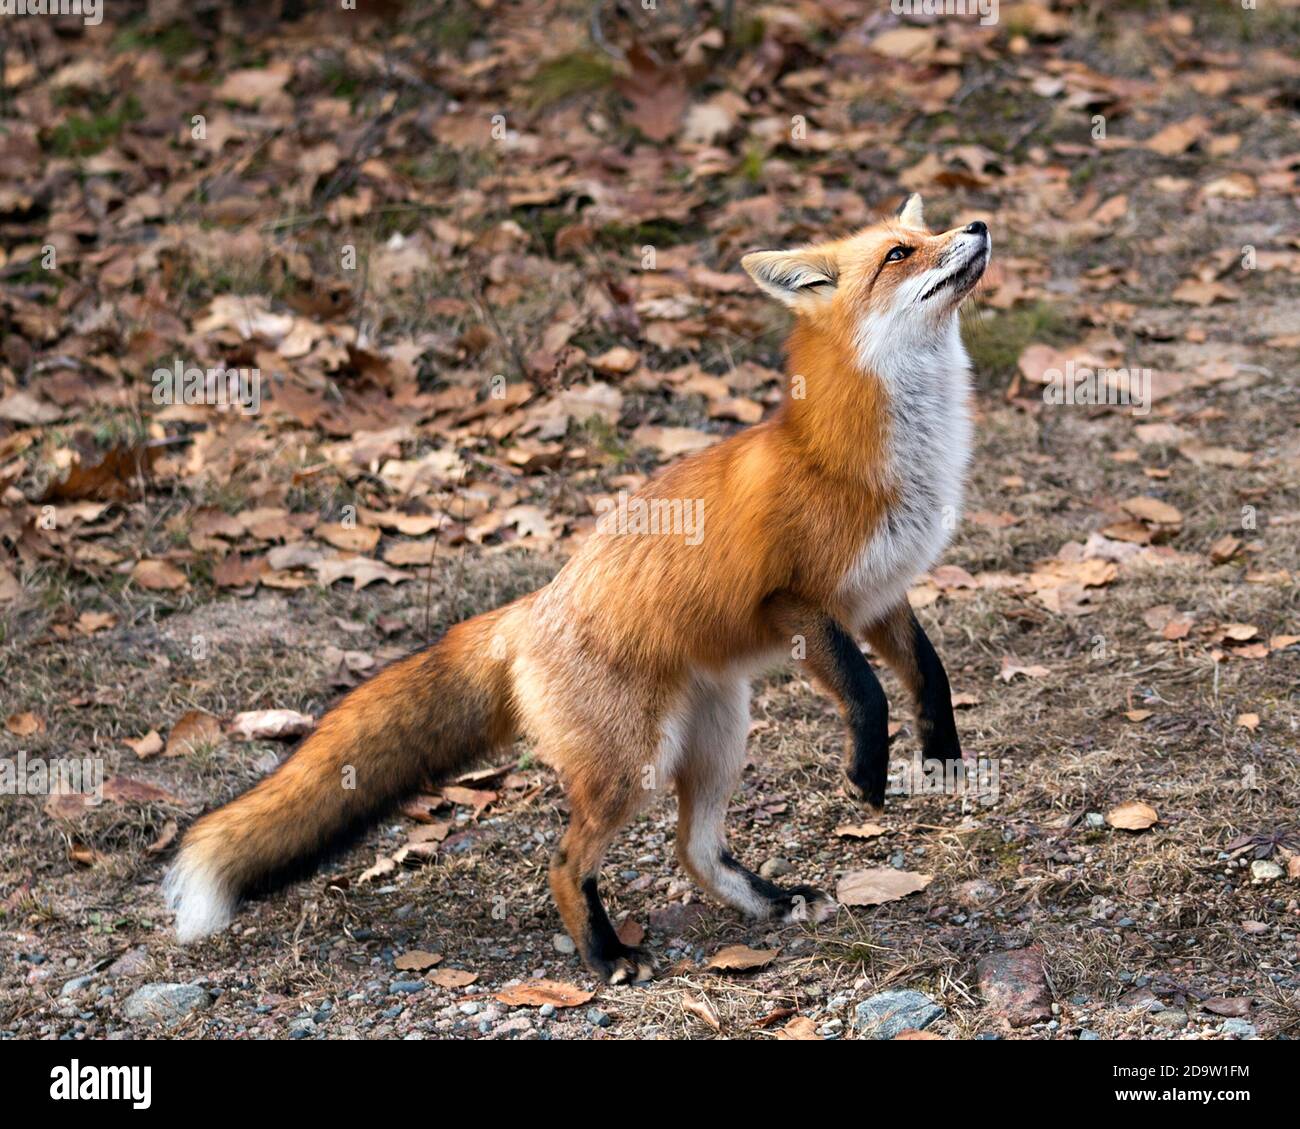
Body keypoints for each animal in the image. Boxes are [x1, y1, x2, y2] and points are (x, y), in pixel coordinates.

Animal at [167, 199, 987, 983]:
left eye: (924, 232)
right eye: (899, 253)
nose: (978, 225)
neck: (852, 456)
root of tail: (530, 609)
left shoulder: (877, 596)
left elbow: (930, 673)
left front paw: (943, 755)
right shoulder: (792, 601)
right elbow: (866, 690)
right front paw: (869, 771)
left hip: (719, 739)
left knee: (694, 850)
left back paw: (768, 900)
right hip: (632, 767)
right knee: (565, 864)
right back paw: (606, 956)